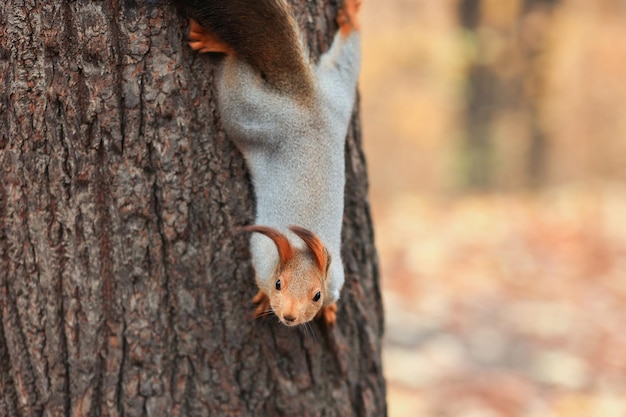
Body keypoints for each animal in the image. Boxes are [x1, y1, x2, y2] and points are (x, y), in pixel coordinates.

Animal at [176, 0, 360, 324]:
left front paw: (329, 310)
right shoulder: (261, 256)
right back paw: (222, 45)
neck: (300, 247)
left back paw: (352, 19)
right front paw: (263, 298)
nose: (289, 317)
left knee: (346, 62)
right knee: (236, 73)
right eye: (278, 284)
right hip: (252, 116)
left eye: (317, 295)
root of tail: (304, 99)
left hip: (336, 100)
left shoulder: (335, 280)